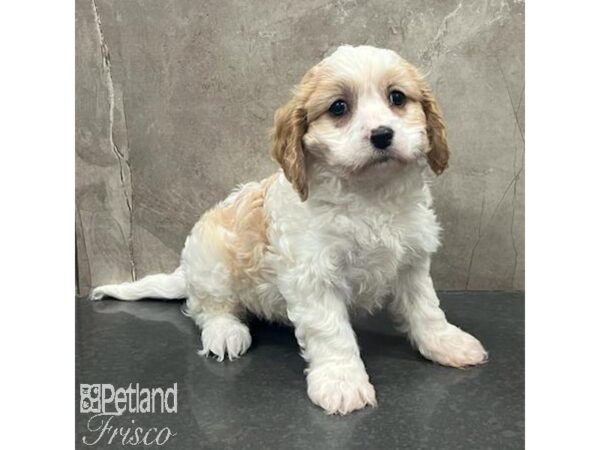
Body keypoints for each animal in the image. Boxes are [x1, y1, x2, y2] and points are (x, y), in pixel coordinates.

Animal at [92, 45, 488, 414]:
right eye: (339, 107)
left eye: (397, 98)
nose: (382, 134)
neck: (370, 195)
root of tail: (186, 273)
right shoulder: (313, 276)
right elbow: (332, 332)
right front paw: (341, 382)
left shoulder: (412, 262)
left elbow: (426, 309)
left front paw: (446, 344)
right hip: (212, 263)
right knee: (207, 309)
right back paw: (226, 333)